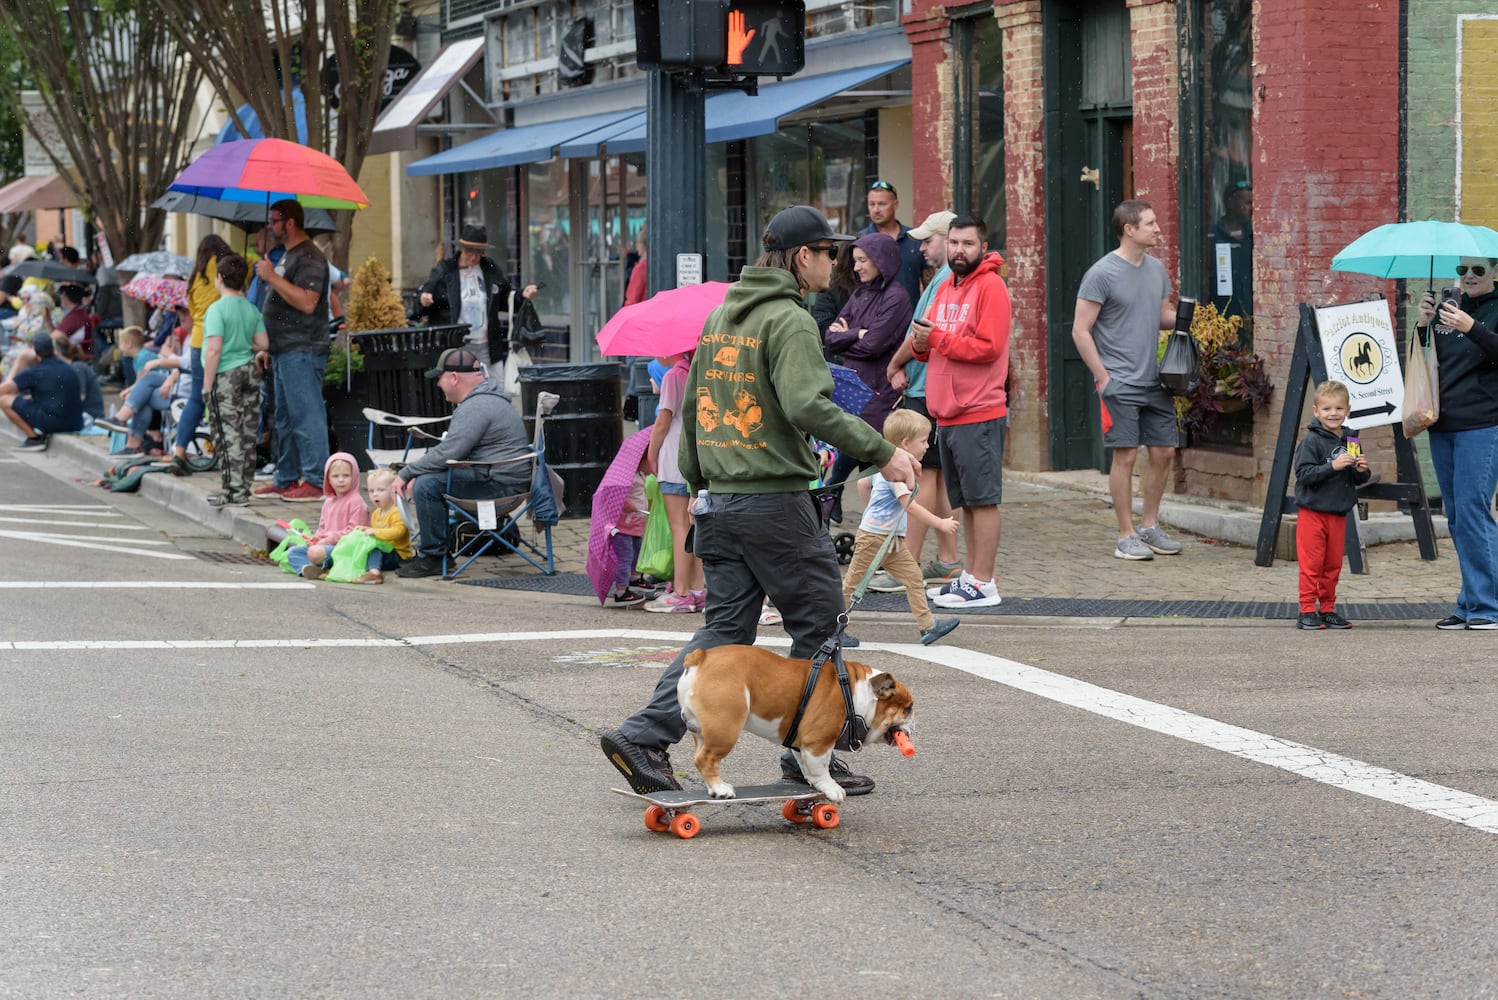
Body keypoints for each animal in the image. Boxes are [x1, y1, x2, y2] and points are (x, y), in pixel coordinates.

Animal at [677, 643, 910, 802]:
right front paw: (832, 787)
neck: (855, 691)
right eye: (908, 708)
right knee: (705, 759)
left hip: (702, 730)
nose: (913, 722)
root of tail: (700, 657)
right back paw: (720, 789)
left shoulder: (803, 743)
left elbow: (806, 765)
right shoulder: (819, 742)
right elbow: (820, 768)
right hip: (725, 729)